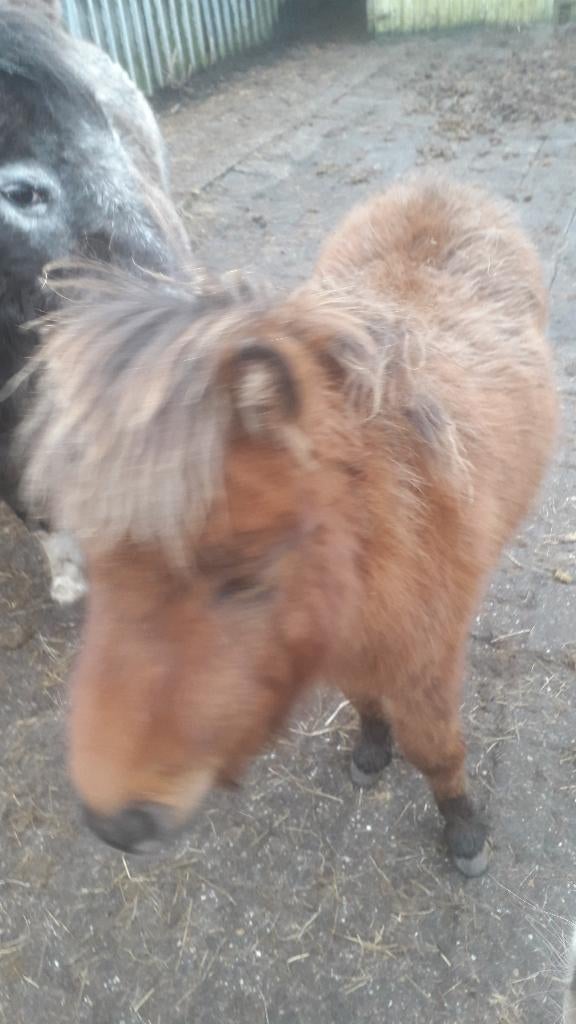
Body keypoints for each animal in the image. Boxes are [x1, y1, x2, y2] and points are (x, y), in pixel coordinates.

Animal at [20, 173, 558, 874]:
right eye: (98, 560)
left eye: (248, 576)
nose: (117, 823)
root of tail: (435, 187)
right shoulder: (349, 646)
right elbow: (366, 704)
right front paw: (371, 750)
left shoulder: (424, 663)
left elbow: (437, 750)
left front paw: (464, 832)